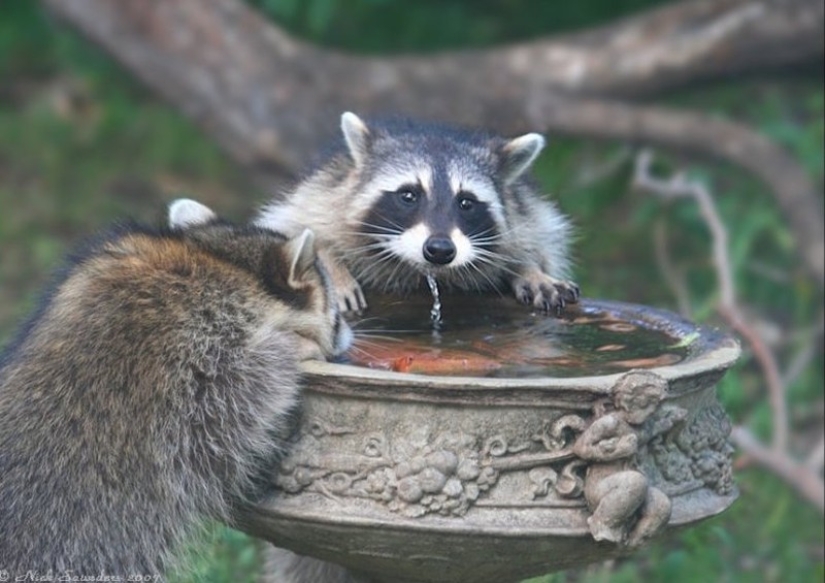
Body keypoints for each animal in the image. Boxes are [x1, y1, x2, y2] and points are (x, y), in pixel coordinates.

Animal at [0, 201, 350, 580]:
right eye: (334, 311)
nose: (349, 333)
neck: (221, 258)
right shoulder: (206, 342)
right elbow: (241, 404)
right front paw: (296, 348)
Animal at [258, 112, 580, 318]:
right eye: (409, 196)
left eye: (466, 202)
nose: (439, 249)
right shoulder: (320, 193)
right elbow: (293, 228)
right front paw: (329, 261)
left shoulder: (527, 211)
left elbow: (534, 238)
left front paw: (527, 267)